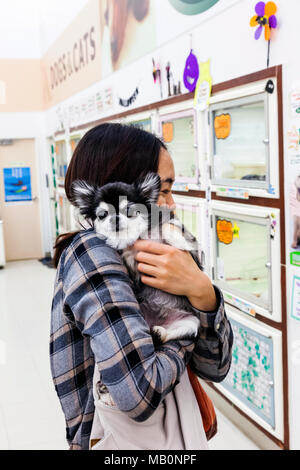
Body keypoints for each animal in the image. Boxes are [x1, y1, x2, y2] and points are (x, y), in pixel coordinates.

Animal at [71, 173, 202, 346]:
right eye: (102, 215)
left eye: (128, 210)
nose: (114, 218)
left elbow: (168, 227)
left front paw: (179, 242)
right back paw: (158, 333)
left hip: (191, 321)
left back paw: (159, 332)